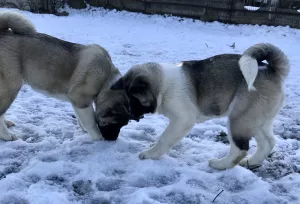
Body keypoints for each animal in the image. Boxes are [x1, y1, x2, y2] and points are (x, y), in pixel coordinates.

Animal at [111, 43, 290, 171]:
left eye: (134, 99)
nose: (130, 114)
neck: (164, 86)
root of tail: (271, 70)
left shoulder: (182, 120)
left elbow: (164, 138)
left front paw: (151, 154)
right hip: (255, 120)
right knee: (268, 142)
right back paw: (251, 161)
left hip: (238, 119)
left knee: (240, 148)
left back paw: (221, 164)